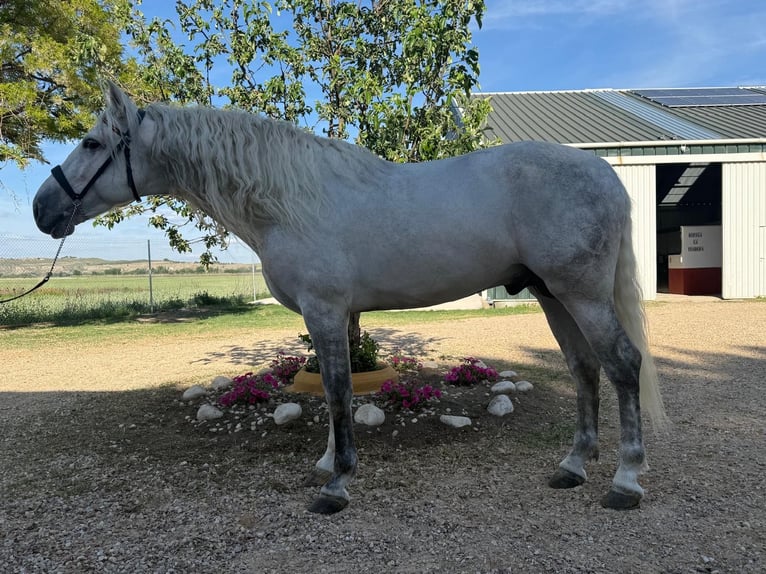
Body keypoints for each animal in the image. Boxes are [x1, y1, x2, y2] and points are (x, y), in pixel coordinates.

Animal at [33, 82, 666, 514]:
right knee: (584, 368)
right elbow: (328, 393)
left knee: (621, 364)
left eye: (91, 142)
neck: (287, 199)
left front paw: (337, 483)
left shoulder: (326, 311)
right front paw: (326, 462)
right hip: (553, 295)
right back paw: (572, 467)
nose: (43, 209)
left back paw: (625, 480)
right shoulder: (329, 318)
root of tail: (603, 174)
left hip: (581, 294)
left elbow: (338, 393)